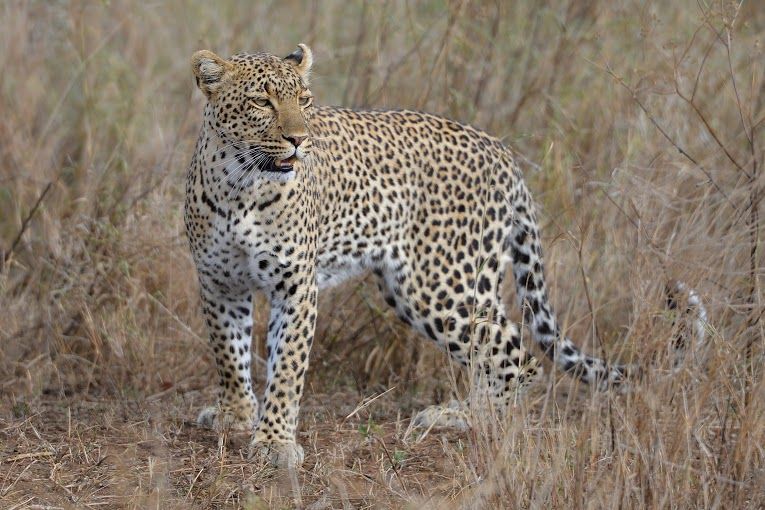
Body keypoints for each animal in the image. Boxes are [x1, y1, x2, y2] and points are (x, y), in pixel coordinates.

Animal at [184, 44, 706, 468]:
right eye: (262, 102)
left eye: (305, 101)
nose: (299, 139)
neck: (241, 186)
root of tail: (502, 151)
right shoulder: (216, 281)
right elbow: (228, 352)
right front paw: (236, 415)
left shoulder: (295, 284)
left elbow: (287, 365)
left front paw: (275, 442)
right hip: (417, 287)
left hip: (440, 283)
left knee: (517, 353)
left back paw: (469, 418)